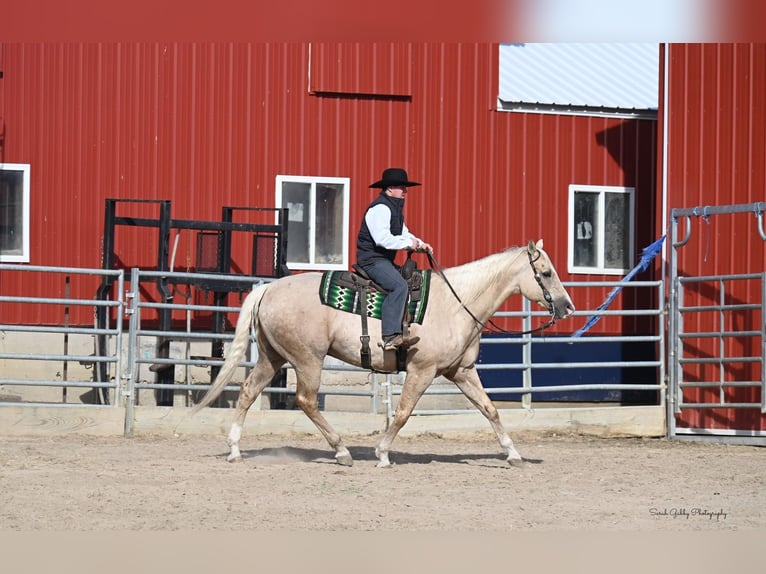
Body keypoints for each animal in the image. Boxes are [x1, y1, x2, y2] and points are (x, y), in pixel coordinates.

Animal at [192, 238, 576, 468]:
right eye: (545, 273)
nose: (567, 307)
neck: (456, 302)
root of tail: (269, 289)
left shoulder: (461, 371)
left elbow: (490, 409)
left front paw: (513, 454)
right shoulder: (422, 370)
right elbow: (404, 412)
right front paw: (383, 453)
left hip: (272, 356)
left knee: (247, 392)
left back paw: (235, 450)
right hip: (307, 359)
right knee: (306, 400)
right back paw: (342, 451)